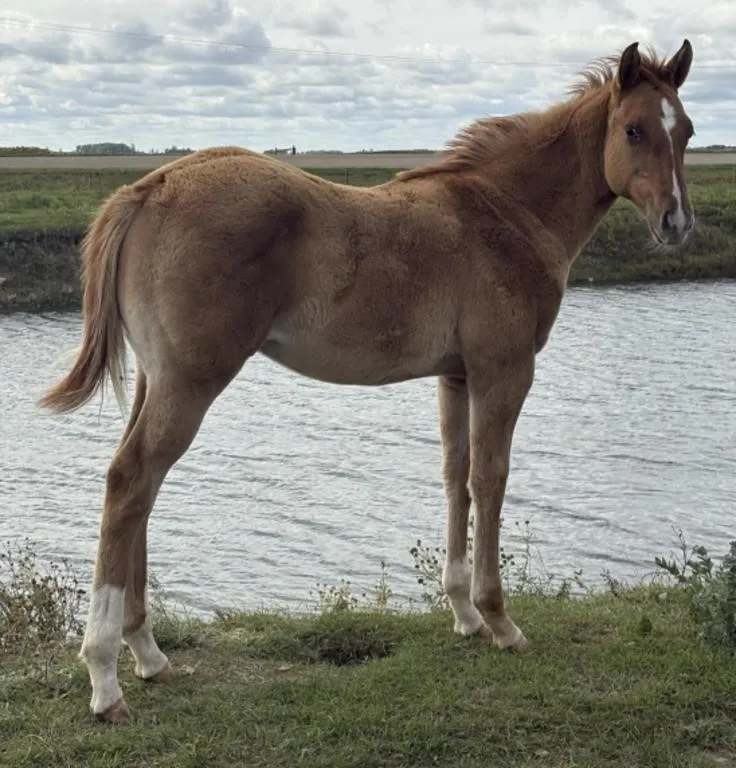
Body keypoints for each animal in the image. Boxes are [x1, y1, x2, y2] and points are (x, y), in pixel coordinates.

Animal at [39, 39, 696, 723]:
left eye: (687, 132)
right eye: (634, 129)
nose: (677, 223)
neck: (510, 211)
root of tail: (149, 185)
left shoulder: (455, 377)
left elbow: (455, 477)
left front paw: (463, 614)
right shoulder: (504, 370)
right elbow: (490, 481)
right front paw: (500, 620)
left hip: (156, 378)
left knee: (139, 486)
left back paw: (148, 654)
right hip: (191, 380)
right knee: (131, 480)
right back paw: (106, 676)